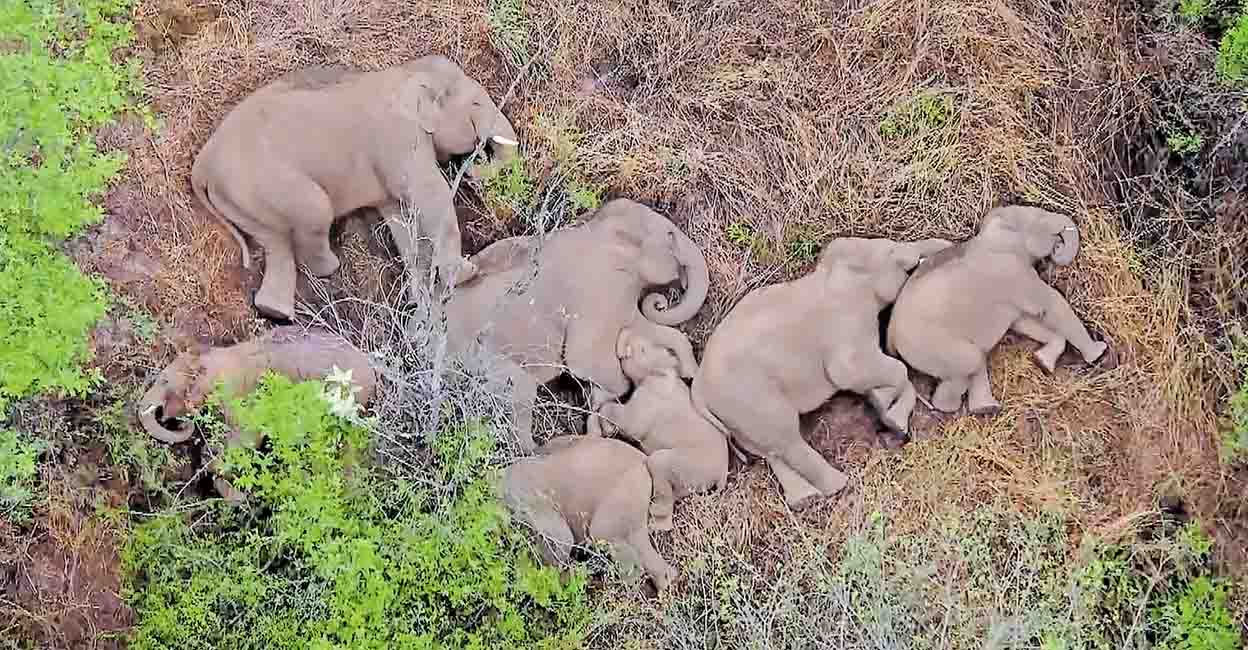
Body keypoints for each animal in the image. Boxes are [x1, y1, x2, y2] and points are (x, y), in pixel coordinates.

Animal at [191, 55, 520, 320]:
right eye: (476, 104)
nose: (472, 166)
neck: (407, 73)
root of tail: (202, 163)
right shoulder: (399, 139)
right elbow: (430, 196)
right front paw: (467, 274)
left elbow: (399, 216)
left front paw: (421, 302)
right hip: (263, 184)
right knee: (315, 212)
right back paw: (329, 269)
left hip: (241, 200)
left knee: (275, 242)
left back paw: (275, 313)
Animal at [446, 198, 709, 452]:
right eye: (670, 235)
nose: (661, 302)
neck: (599, 226)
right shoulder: (597, 289)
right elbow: (584, 361)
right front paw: (603, 417)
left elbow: (641, 326)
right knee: (520, 394)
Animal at [595, 327, 728, 531]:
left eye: (642, 348)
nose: (625, 330)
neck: (661, 371)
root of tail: (723, 473)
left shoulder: (649, 398)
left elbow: (629, 423)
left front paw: (608, 428)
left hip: (690, 463)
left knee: (659, 465)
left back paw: (655, 518)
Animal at [691, 237, 954, 510]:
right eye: (892, 251)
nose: (946, 246)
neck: (832, 272)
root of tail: (698, 387)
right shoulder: (846, 323)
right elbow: (854, 371)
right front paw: (890, 414)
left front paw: (886, 411)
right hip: (750, 397)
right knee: (786, 438)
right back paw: (838, 485)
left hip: (736, 415)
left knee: (769, 448)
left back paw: (806, 498)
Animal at [887, 205, 1110, 414]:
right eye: (1040, 217)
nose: (1057, 246)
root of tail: (891, 337)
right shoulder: (1013, 271)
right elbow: (1051, 305)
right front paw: (1098, 352)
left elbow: (1023, 322)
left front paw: (1042, 362)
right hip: (932, 345)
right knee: (971, 360)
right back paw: (958, 407)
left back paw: (986, 407)